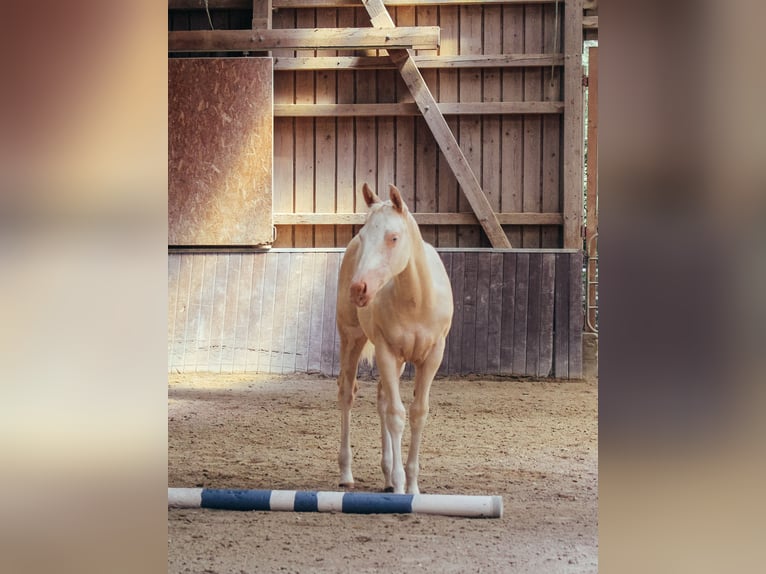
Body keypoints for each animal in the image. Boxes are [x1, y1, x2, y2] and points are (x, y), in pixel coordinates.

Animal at [335, 183, 454, 494]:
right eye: (363, 236)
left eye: (393, 238)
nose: (359, 289)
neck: (417, 301)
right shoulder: (387, 352)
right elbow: (396, 415)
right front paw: (401, 485)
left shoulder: (432, 357)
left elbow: (417, 412)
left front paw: (411, 485)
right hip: (351, 339)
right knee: (347, 394)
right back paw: (347, 473)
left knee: (381, 398)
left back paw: (387, 476)